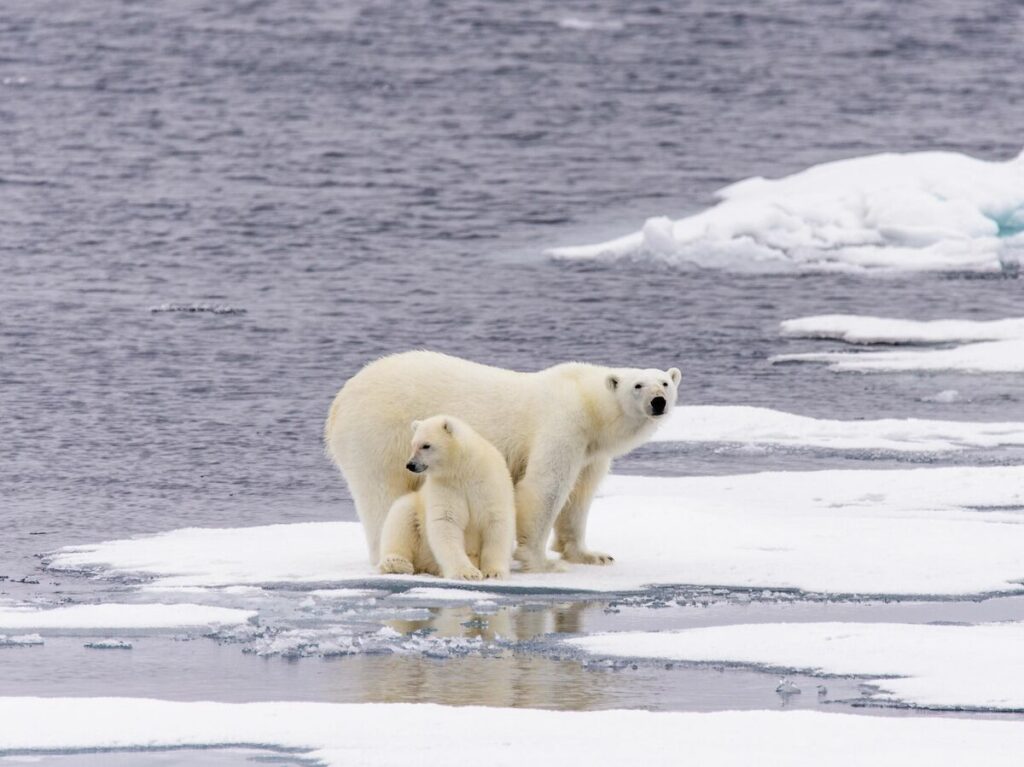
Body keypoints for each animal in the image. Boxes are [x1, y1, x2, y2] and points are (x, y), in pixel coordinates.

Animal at [378, 414, 516, 580]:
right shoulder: (446, 486)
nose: (410, 465)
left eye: (426, 445)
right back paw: (397, 564)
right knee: (401, 515)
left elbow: (496, 520)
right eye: (413, 444)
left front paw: (494, 572)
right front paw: (467, 573)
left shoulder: (488, 482)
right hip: (418, 524)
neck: (463, 468)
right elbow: (446, 521)